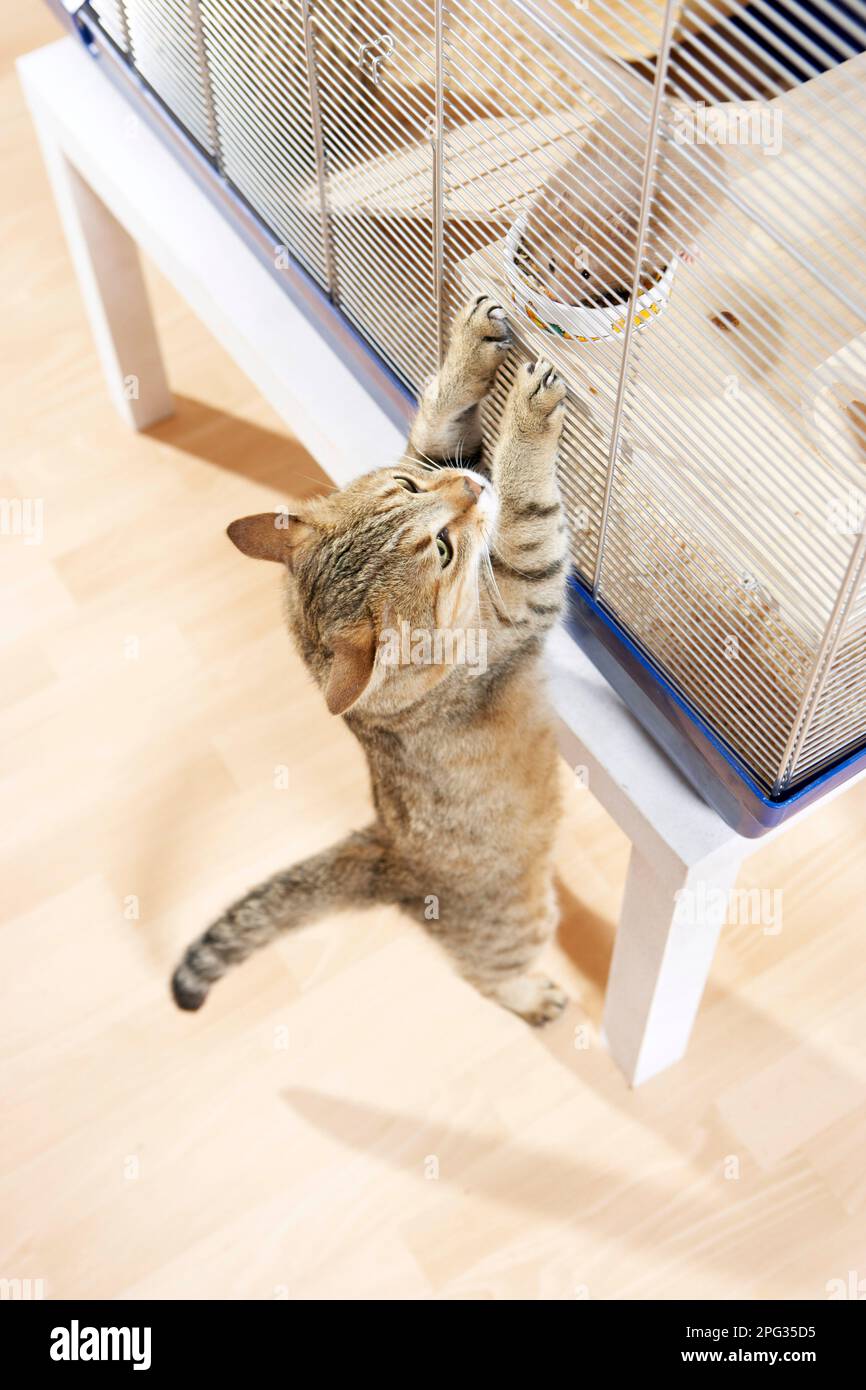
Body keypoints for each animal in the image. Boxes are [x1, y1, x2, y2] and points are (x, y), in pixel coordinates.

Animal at [173, 296, 572, 1023]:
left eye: (411, 484)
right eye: (442, 550)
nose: (473, 488)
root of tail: (386, 855)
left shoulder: (440, 454)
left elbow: (437, 420)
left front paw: (473, 345)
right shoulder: (523, 587)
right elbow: (529, 508)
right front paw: (529, 414)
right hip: (518, 922)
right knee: (487, 977)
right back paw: (533, 998)